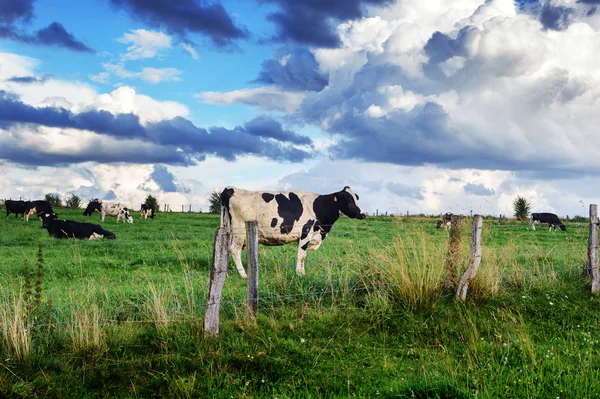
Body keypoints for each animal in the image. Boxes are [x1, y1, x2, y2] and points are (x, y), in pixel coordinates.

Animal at [219, 187, 366, 278]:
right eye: (348, 199)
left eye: (356, 198)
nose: (363, 214)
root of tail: (231, 189)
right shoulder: (306, 234)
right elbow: (301, 256)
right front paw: (300, 274)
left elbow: (303, 256)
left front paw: (302, 272)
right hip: (239, 232)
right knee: (235, 250)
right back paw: (243, 274)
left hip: (229, 229)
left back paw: (225, 274)